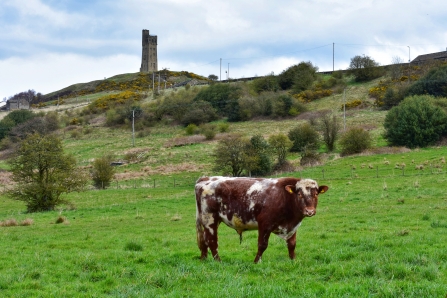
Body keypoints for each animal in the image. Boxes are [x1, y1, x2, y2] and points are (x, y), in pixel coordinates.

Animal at [196, 176, 328, 262]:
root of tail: (206, 178)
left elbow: (292, 244)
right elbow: (262, 245)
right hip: (210, 219)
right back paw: (218, 261)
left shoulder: (293, 226)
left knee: (204, 240)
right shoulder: (265, 224)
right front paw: (257, 261)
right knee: (212, 241)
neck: (284, 197)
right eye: (299, 194)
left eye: (316, 194)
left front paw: (293, 260)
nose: (309, 211)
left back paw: (204, 258)